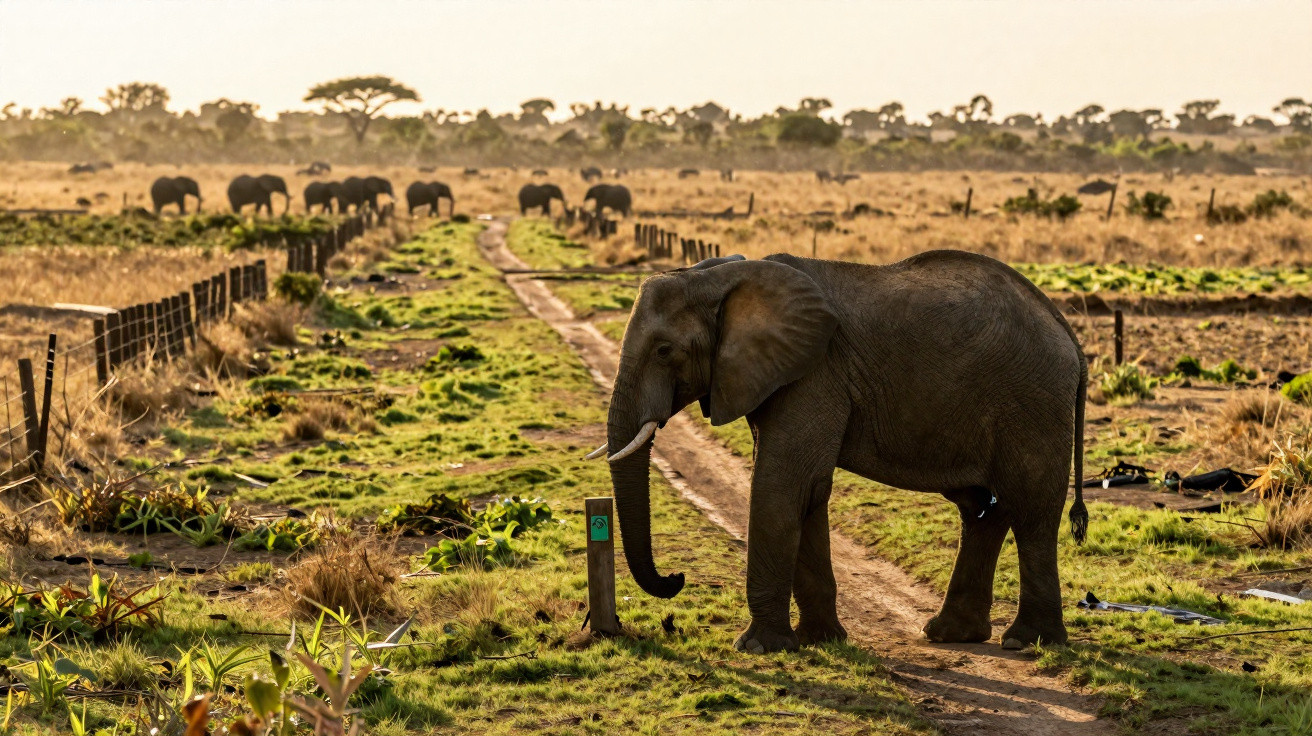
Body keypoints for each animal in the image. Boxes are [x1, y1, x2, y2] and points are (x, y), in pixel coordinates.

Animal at [593, 250, 1088, 653]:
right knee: (982, 509)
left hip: (1033, 401)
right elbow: (807, 492)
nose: (676, 579)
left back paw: (1028, 642)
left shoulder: (814, 374)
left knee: (1030, 509)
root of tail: (1066, 330)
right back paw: (952, 635)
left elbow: (782, 486)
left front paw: (758, 648)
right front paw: (820, 640)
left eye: (664, 350)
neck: (721, 276)